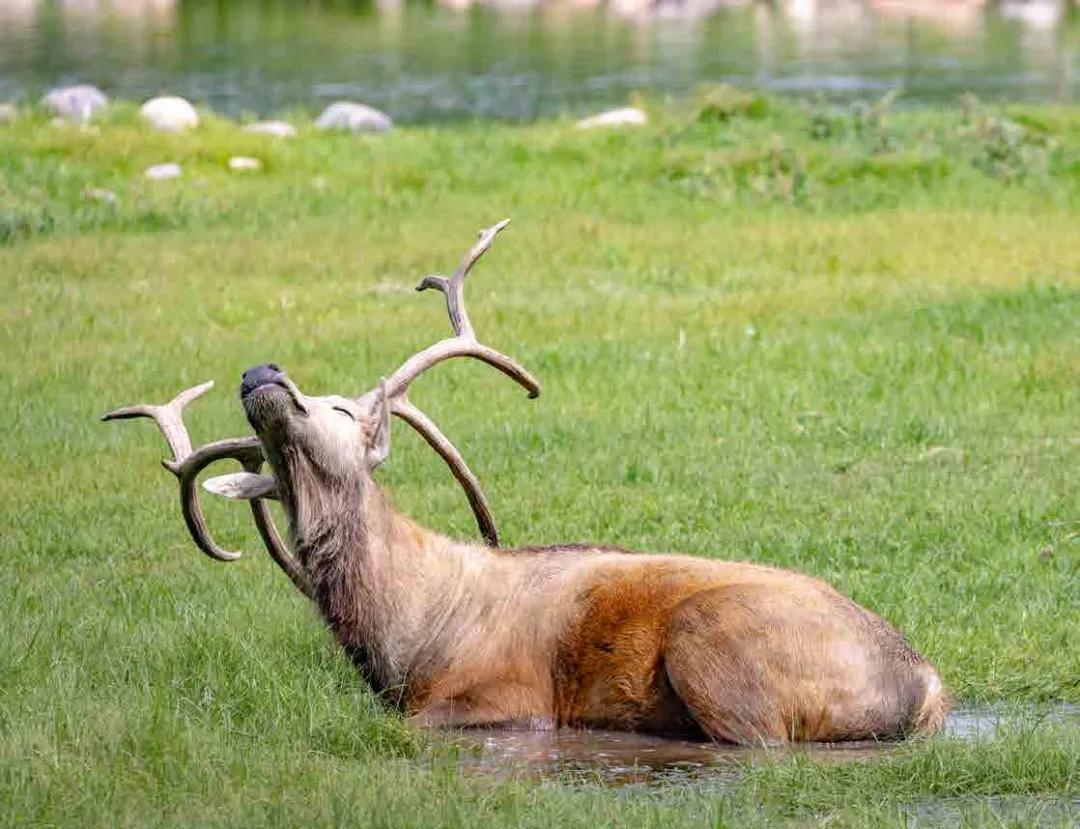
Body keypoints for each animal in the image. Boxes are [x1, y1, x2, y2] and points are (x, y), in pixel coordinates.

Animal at [103, 220, 947, 744]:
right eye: (274, 468)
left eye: (343, 405)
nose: (261, 371)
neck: (408, 632)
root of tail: (930, 682)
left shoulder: (510, 699)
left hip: (719, 649)